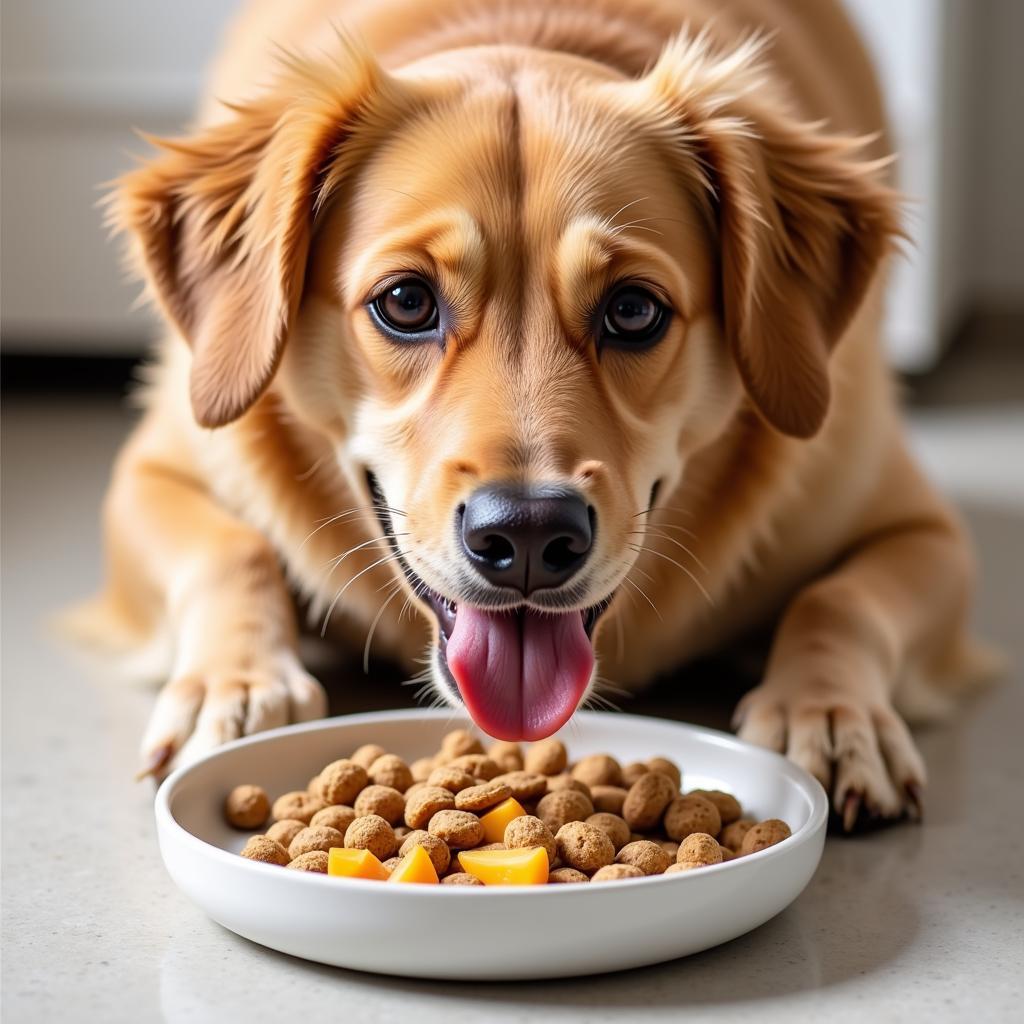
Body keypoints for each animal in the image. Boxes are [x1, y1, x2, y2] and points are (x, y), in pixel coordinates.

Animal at [72, 0, 991, 823]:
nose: (526, 538)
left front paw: (828, 715)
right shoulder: (151, 472)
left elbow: (838, 600)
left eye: (633, 310)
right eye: (405, 302)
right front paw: (236, 690)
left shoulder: (919, 528)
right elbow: (233, 550)